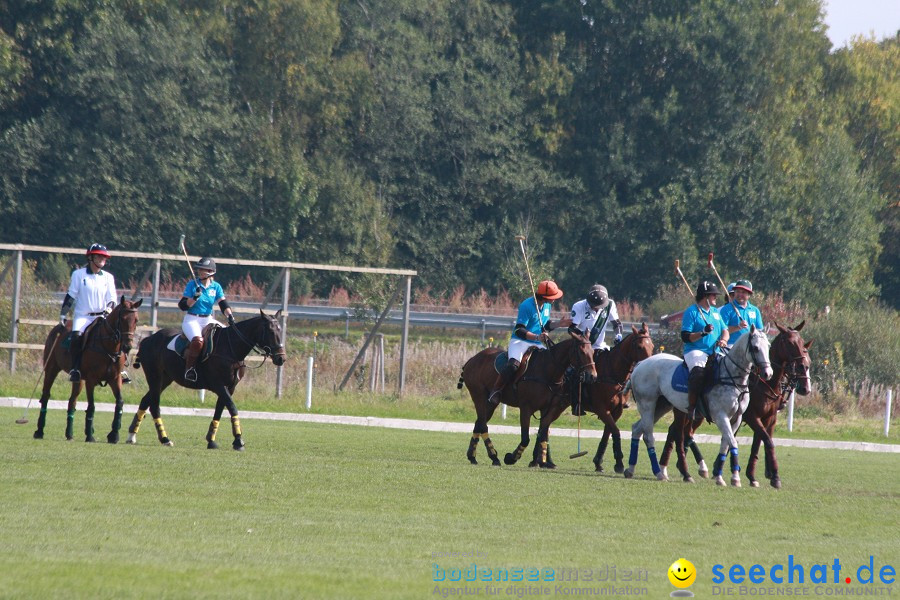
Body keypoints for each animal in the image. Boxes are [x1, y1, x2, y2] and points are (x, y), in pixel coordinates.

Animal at [31, 296, 142, 442]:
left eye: (136, 320)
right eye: (122, 319)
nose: (127, 346)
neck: (108, 346)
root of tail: (58, 328)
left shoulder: (115, 378)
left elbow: (119, 402)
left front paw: (114, 434)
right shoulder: (91, 379)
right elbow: (91, 406)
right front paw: (90, 435)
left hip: (79, 379)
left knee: (72, 401)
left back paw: (69, 434)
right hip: (51, 368)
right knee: (45, 395)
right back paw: (39, 431)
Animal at [126, 310, 284, 450]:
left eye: (280, 330)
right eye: (270, 331)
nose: (281, 358)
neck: (231, 348)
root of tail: (147, 339)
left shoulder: (230, 387)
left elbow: (219, 410)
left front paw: (211, 440)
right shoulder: (219, 385)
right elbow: (232, 407)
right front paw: (238, 440)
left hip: (165, 379)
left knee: (145, 400)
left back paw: (132, 435)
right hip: (155, 377)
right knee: (154, 405)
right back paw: (165, 439)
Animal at [458, 332, 596, 468]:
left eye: (593, 352)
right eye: (581, 352)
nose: (592, 376)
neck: (548, 371)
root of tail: (472, 359)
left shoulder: (549, 409)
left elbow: (543, 433)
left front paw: (542, 461)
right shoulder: (526, 408)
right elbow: (526, 438)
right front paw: (512, 458)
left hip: (490, 403)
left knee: (478, 423)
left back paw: (473, 456)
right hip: (478, 395)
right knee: (483, 425)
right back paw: (494, 456)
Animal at [580, 324, 656, 474]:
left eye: (652, 346)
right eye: (639, 346)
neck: (613, 374)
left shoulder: (617, 410)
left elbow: (607, 433)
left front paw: (598, 462)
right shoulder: (602, 409)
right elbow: (615, 431)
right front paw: (619, 463)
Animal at [624, 326, 768, 486]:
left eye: (768, 347)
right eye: (755, 348)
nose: (768, 373)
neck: (731, 378)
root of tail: (639, 364)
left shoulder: (736, 418)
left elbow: (726, 444)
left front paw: (720, 477)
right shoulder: (720, 415)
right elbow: (732, 442)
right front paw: (735, 478)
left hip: (661, 406)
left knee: (637, 429)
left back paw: (630, 469)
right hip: (647, 403)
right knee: (649, 435)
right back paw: (659, 473)